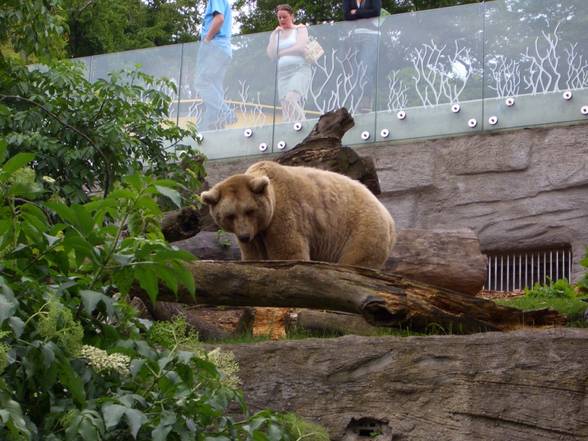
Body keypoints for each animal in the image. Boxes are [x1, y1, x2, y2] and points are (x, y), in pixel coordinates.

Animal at [200, 161, 398, 268]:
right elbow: (253, 256)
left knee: (354, 260)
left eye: (249, 210)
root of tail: (389, 217)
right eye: (230, 215)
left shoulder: (283, 215)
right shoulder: (257, 234)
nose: (244, 235)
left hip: (361, 229)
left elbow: (289, 253)